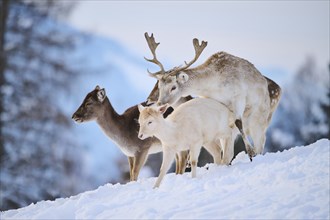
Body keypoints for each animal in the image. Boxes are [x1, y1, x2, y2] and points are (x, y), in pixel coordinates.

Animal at [143, 32, 280, 160]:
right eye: (159, 86)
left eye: (173, 87)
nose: (159, 104)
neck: (214, 85)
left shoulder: (239, 96)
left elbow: (238, 121)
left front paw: (250, 151)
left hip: (260, 119)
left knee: (261, 142)